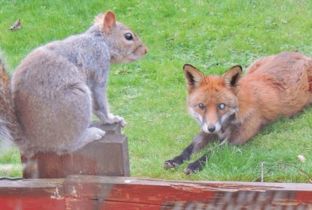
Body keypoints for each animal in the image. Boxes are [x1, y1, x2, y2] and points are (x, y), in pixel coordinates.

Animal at [0, 9, 147, 158]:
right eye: (128, 36)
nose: (145, 50)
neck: (100, 40)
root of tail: (30, 140)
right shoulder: (98, 66)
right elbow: (99, 101)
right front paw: (111, 119)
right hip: (76, 99)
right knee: (67, 146)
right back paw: (91, 134)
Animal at [165, 51, 310, 175]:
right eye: (201, 106)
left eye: (221, 106)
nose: (212, 128)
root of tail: (299, 54)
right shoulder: (205, 131)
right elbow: (189, 148)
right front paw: (175, 160)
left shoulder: (236, 138)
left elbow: (212, 152)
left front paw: (194, 165)